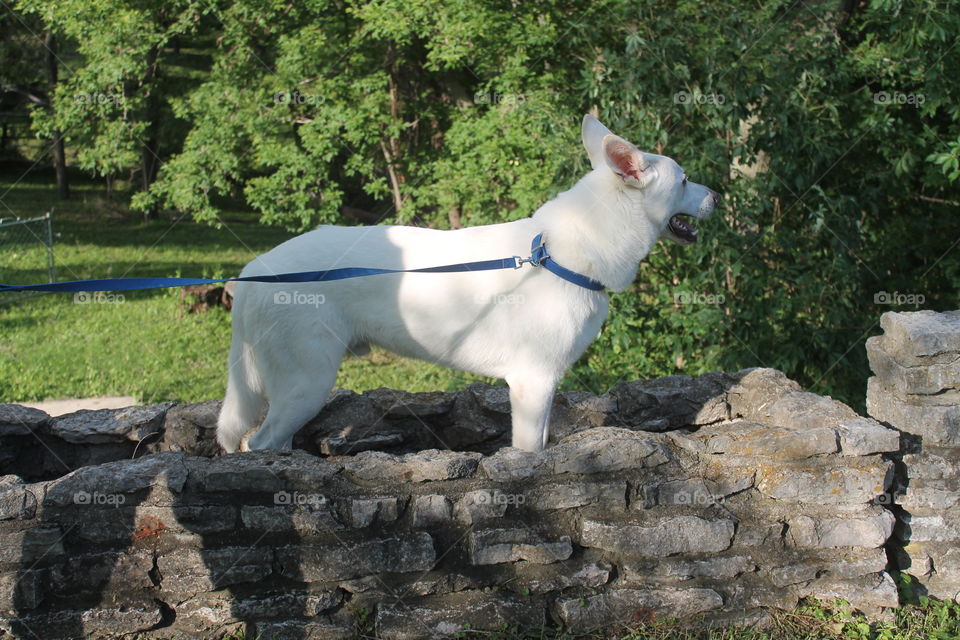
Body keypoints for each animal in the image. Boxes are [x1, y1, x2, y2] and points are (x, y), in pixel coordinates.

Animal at [216, 116, 712, 456]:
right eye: (686, 180)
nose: (718, 196)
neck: (561, 255)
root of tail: (252, 270)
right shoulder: (532, 383)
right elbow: (530, 450)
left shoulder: (543, 384)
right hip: (306, 385)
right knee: (258, 444)